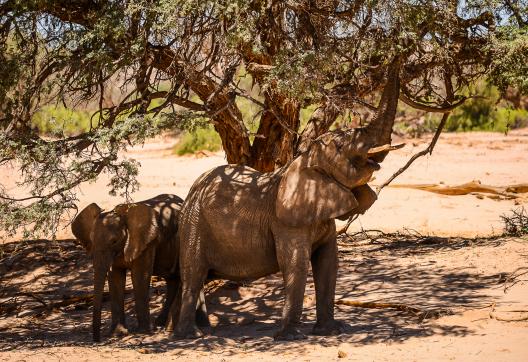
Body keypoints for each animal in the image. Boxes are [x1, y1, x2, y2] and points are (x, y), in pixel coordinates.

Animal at [71, 194, 209, 340]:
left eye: (114, 241)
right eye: (91, 240)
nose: (97, 340)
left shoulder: (147, 241)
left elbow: (139, 277)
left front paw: (144, 332)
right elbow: (116, 278)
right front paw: (118, 333)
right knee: (174, 280)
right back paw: (162, 323)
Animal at [175, 61, 402, 340]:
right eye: (340, 146)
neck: (305, 160)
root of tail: (191, 192)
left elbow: (328, 263)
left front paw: (332, 331)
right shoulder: (286, 222)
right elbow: (296, 264)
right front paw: (290, 337)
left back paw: (202, 331)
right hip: (193, 224)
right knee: (193, 275)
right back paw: (190, 336)